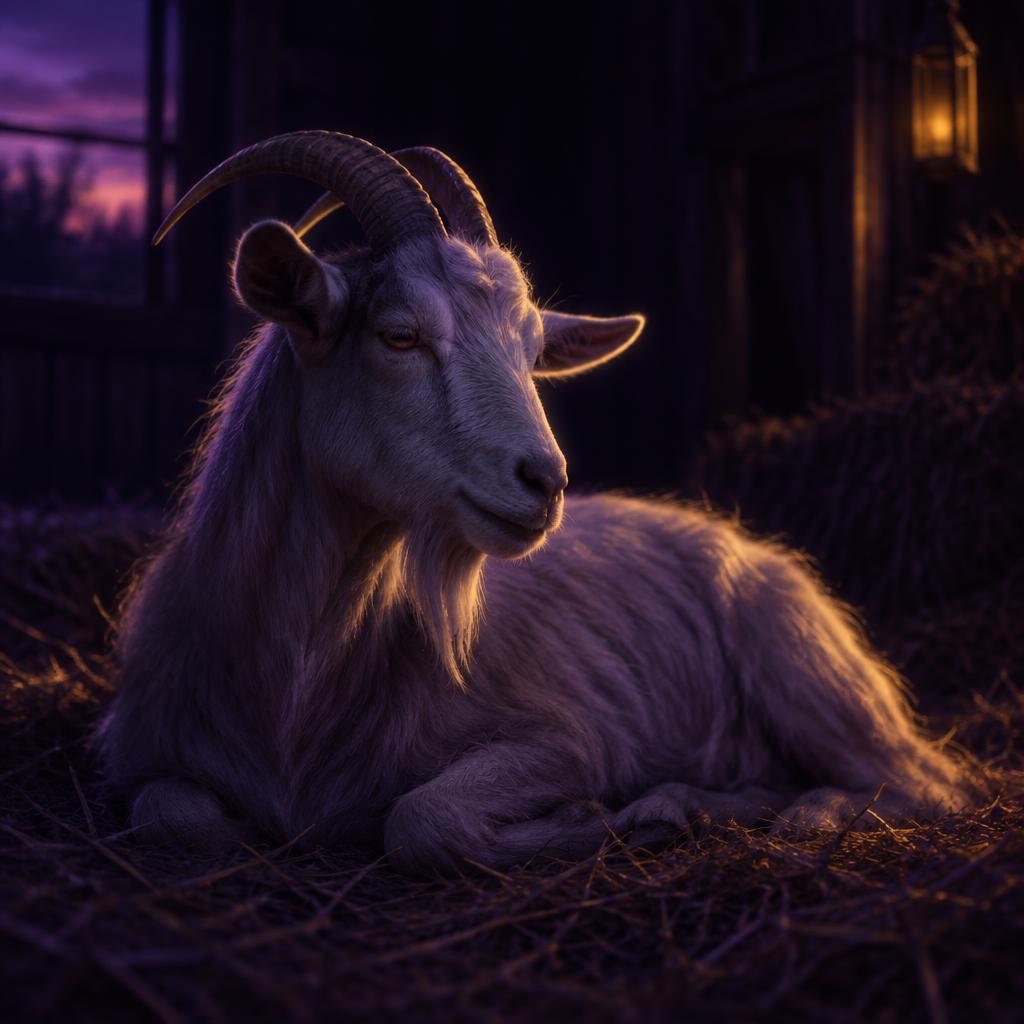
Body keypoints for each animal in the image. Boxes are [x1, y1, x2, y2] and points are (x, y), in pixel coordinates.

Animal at [98, 131, 977, 872]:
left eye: (531, 352)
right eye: (399, 335)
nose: (545, 482)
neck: (290, 700)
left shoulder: (566, 739)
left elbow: (422, 818)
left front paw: (591, 819)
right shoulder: (136, 747)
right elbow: (173, 814)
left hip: (803, 667)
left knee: (926, 781)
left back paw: (777, 817)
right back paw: (689, 804)